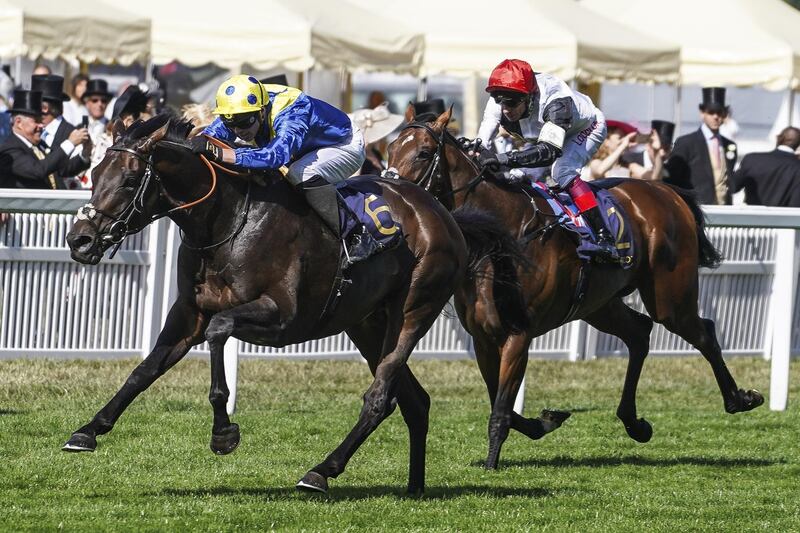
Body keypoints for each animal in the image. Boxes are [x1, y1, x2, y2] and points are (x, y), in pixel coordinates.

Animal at [64, 114, 476, 492]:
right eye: (95, 173)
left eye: (130, 180)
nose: (79, 240)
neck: (227, 222)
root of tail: (437, 210)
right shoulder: (189, 313)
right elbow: (144, 370)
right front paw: (88, 431)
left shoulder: (283, 318)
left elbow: (219, 331)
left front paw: (223, 432)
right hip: (366, 323)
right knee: (412, 399)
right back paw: (414, 486)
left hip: (413, 311)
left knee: (379, 396)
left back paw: (321, 472)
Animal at [390, 106, 764, 468]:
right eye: (393, 147)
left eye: (423, 153)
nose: (395, 194)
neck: (501, 236)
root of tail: (666, 191)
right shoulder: (483, 337)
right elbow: (503, 404)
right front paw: (545, 421)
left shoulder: (518, 335)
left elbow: (501, 410)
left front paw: (492, 464)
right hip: (600, 304)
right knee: (639, 333)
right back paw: (635, 423)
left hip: (670, 298)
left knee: (703, 332)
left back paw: (740, 399)